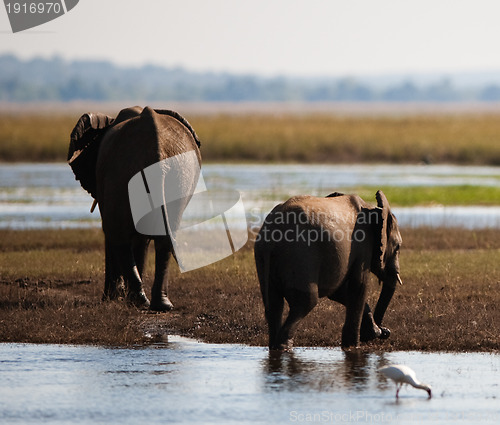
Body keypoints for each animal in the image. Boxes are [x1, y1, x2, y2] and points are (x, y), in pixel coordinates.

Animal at [68, 105, 201, 312]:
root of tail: (156, 147)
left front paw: (112, 298)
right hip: (178, 175)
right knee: (164, 235)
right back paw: (160, 305)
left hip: (122, 176)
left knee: (117, 233)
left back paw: (136, 301)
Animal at [254, 190, 402, 348]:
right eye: (398, 247)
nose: (385, 331)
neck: (373, 208)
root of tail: (270, 237)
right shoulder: (363, 245)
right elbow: (358, 287)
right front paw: (355, 345)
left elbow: (340, 291)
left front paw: (371, 333)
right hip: (300, 256)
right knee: (305, 302)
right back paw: (284, 346)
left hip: (263, 258)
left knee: (274, 305)